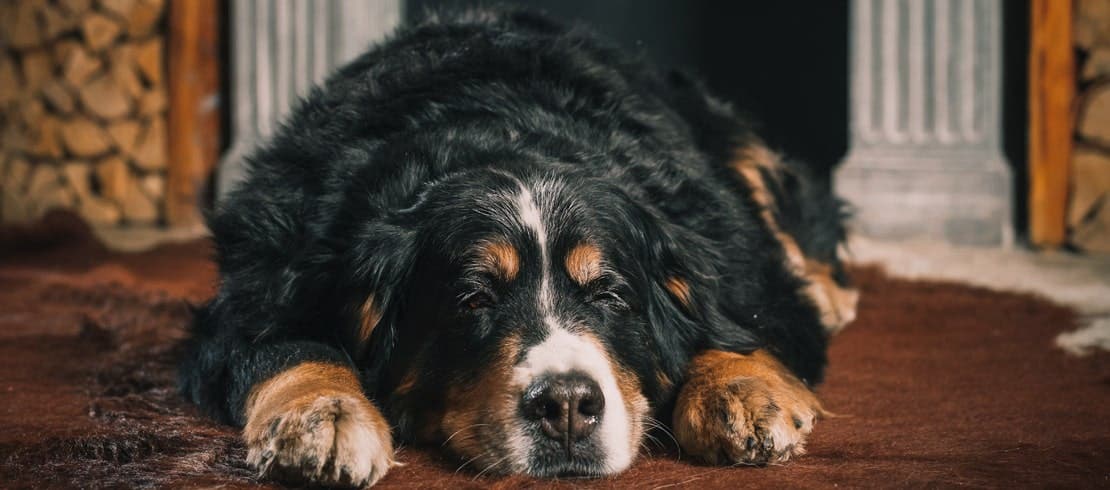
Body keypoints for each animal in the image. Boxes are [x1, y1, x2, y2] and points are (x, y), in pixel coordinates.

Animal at [179, 6, 856, 484]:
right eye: (474, 301)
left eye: (609, 295)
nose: (567, 405)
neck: (501, 132)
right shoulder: (260, 281)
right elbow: (286, 345)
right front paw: (321, 417)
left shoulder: (735, 255)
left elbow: (739, 323)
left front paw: (740, 393)